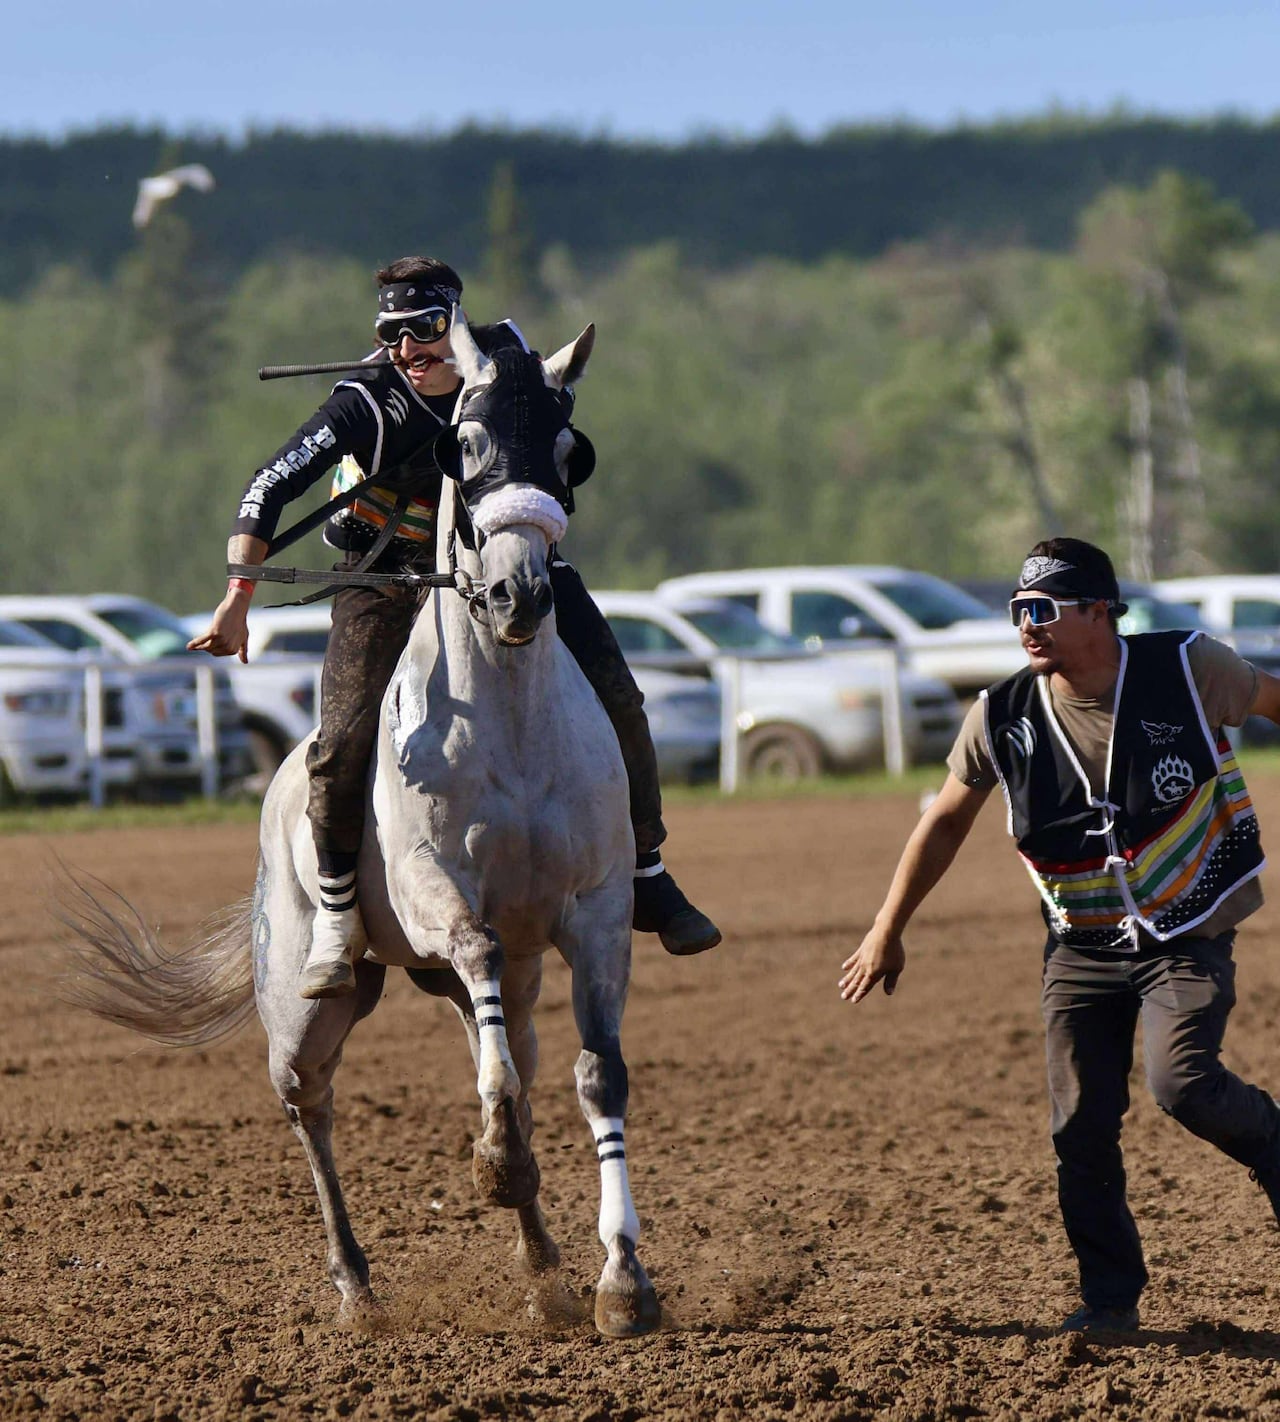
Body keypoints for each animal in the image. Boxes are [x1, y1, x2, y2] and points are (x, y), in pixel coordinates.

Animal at [58, 309, 662, 1338]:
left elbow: (596, 1077)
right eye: (466, 443)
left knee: (509, 1055)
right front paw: (496, 1165)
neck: (512, 724)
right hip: (308, 1003)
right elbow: (478, 959)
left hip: (490, 980)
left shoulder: (596, 913)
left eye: (568, 449)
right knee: (313, 1104)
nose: (521, 594)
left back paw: (543, 1267)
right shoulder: (435, 895)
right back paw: (358, 1284)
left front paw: (623, 1279)